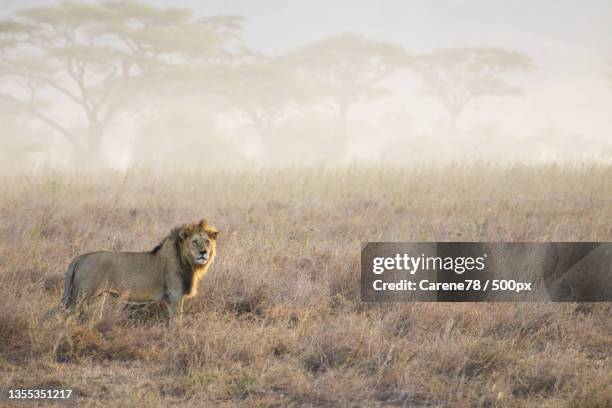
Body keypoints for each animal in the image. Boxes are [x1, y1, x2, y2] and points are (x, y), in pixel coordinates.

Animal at [61, 222, 219, 324]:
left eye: (207, 241)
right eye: (194, 242)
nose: (203, 252)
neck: (189, 263)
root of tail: (80, 257)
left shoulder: (170, 300)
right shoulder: (175, 297)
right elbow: (176, 323)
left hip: (96, 297)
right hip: (81, 296)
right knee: (66, 315)